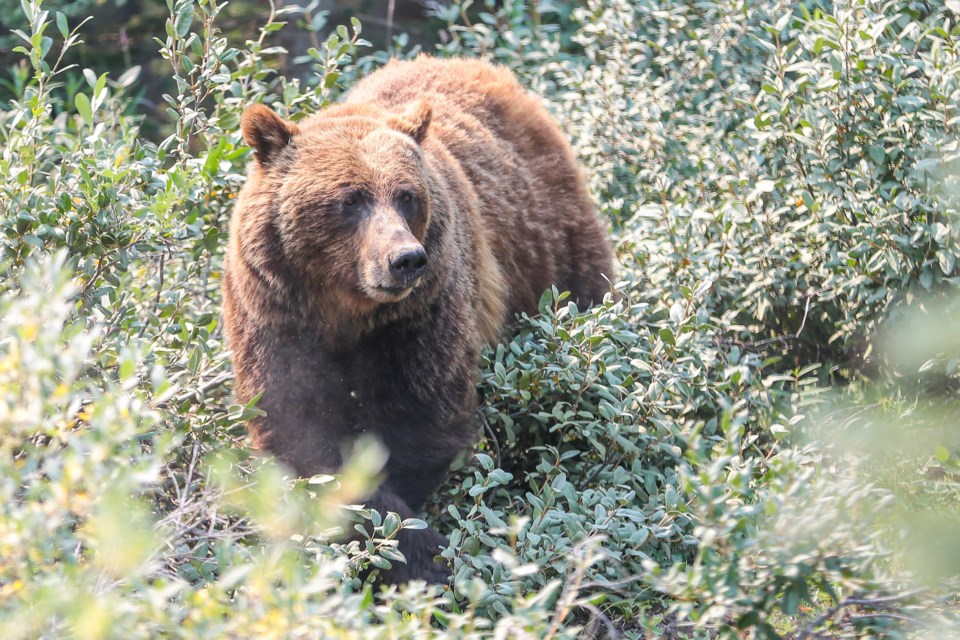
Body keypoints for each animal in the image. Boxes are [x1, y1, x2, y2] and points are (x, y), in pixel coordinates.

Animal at [222, 55, 614, 583]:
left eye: (406, 195)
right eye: (351, 199)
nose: (406, 259)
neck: (345, 309)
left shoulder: (418, 318)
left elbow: (423, 419)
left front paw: (422, 552)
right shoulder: (275, 313)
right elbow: (297, 422)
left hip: (551, 246)